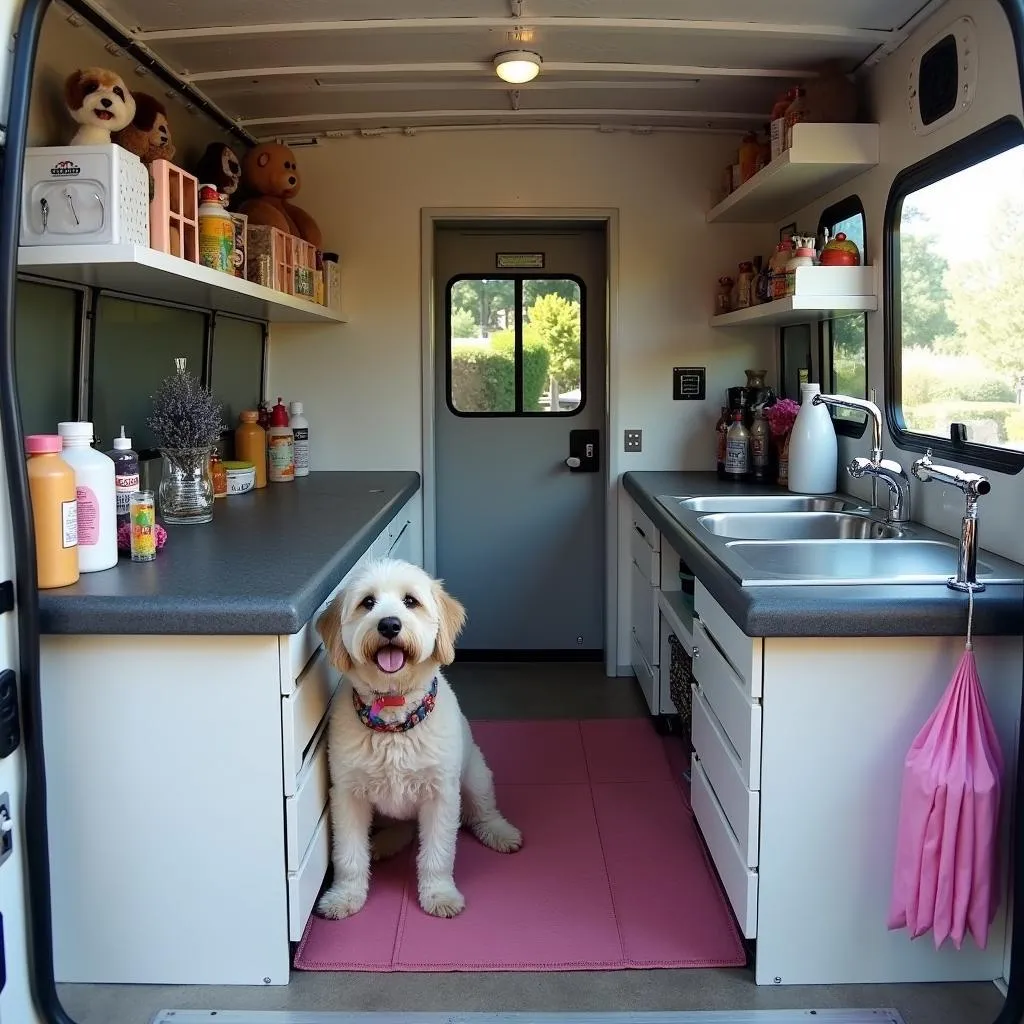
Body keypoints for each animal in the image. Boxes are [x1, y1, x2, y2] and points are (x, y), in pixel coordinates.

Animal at [313, 561, 524, 921]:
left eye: (410, 601)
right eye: (367, 603)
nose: (389, 624)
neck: (394, 717)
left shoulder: (441, 796)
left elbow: (438, 854)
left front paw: (439, 894)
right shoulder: (347, 796)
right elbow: (349, 856)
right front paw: (344, 896)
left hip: (475, 777)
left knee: (481, 813)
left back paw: (500, 832)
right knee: (403, 828)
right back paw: (384, 843)